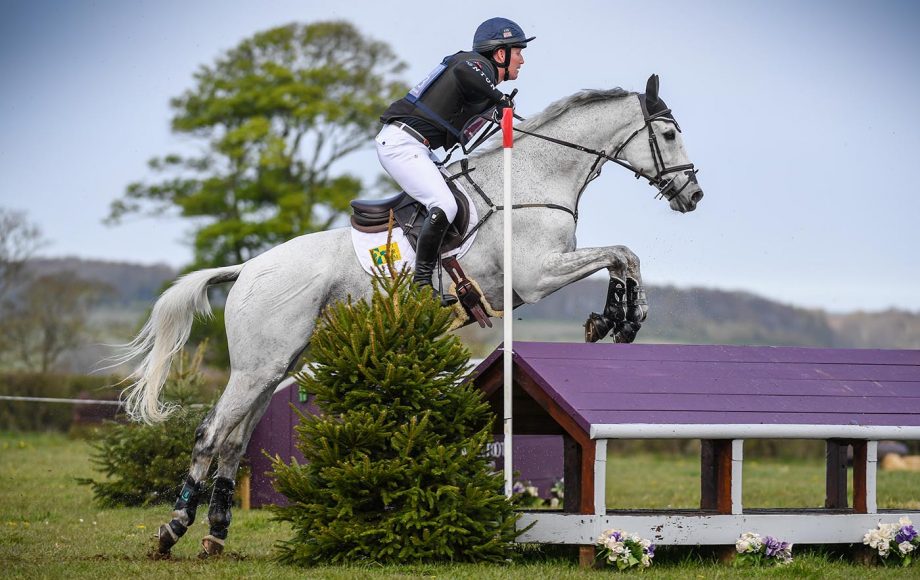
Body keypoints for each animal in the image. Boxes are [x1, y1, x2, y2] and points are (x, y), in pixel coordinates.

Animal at [124, 74, 704, 557]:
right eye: (669, 134)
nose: (693, 195)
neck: (534, 181)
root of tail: (247, 269)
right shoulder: (537, 276)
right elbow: (619, 253)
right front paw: (620, 319)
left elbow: (623, 257)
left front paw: (619, 317)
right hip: (256, 367)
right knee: (211, 433)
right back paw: (172, 529)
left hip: (274, 367)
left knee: (234, 442)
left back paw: (216, 535)